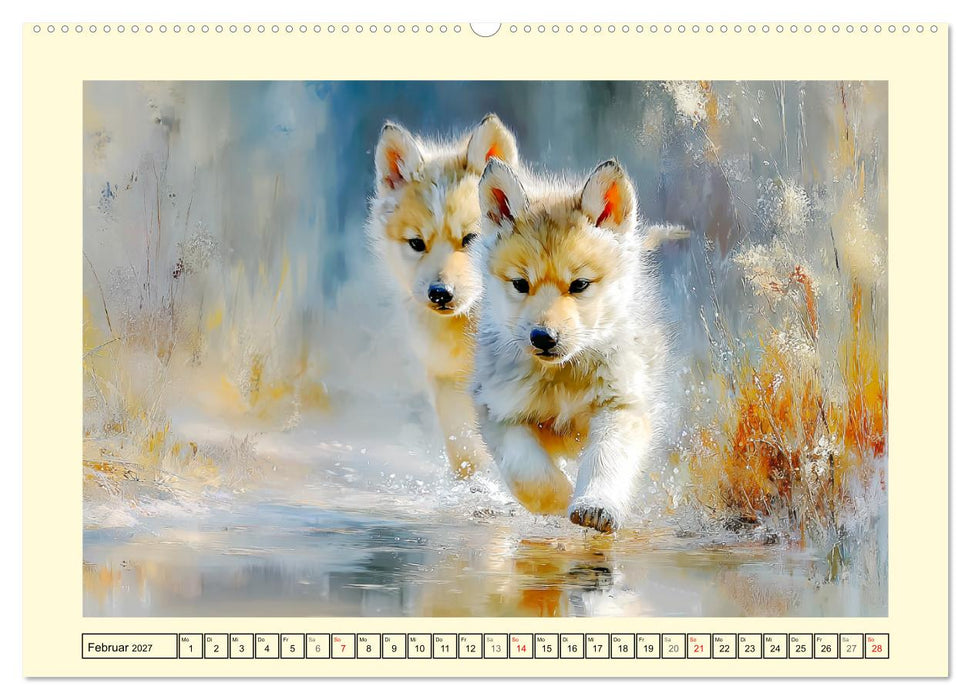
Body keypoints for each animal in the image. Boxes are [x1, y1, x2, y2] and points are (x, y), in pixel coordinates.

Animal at [368, 115, 519, 478]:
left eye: (470, 238)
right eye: (416, 243)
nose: (440, 294)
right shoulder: (447, 381)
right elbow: (464, 448)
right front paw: (477, 485)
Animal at [471, 158, 672, 532]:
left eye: (579, 284)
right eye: (520, 284)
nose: (543, 337)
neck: (563, 375)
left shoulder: (621, 404)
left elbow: (606, 458)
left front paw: (595, 504)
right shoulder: (498, 410)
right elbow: (529, 473)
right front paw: (561, 500)